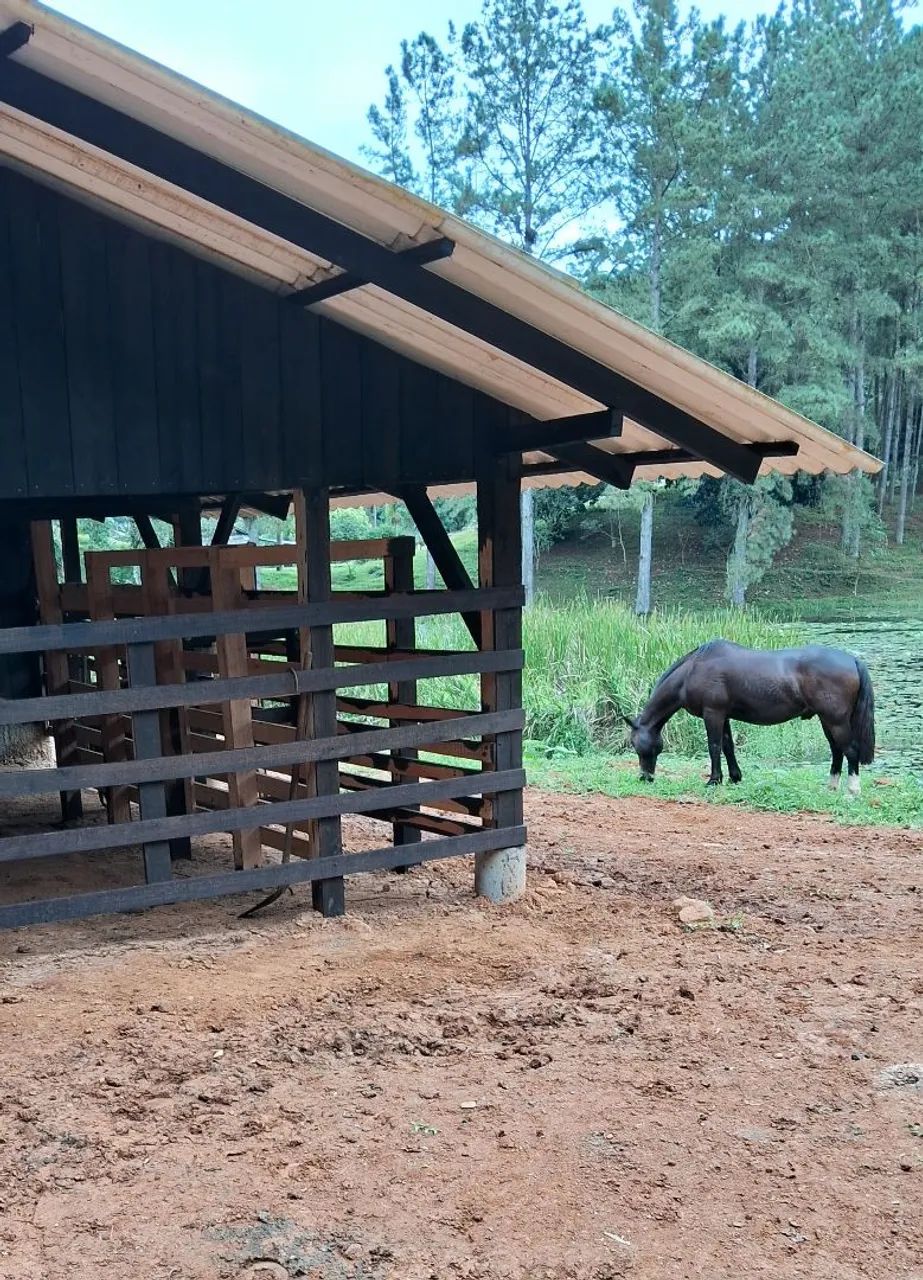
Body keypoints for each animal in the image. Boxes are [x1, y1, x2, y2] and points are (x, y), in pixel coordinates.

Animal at [624, 639, 875, 794]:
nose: (645, 777)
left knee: (850, 750)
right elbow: (728, 746)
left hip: (836, 720)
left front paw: (713, 781)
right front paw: (734, 777)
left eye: (636, 745)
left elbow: (714, 746)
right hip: (827, 720)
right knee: (837, 751)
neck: (693, 670)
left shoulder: (712, 713)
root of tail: (852, 660)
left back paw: (852, 790)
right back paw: (831, 787)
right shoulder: (723, 715)